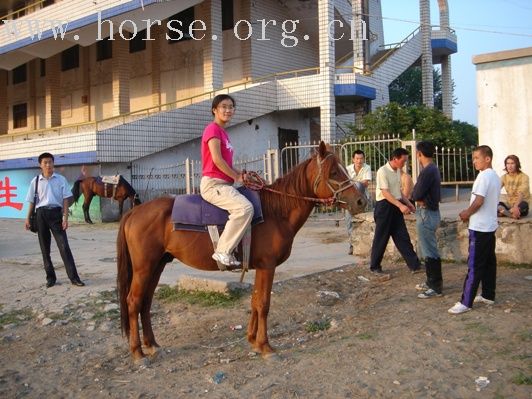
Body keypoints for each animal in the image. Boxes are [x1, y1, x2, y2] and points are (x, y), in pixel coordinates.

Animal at [116, 142, 366, 364]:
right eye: (334, 172)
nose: (361, 201)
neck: (276, 211)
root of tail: (134, 212)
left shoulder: (261, 267)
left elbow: (255, 301)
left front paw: (253, 341)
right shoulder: (267, 266)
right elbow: (263, 303)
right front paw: (266, 346)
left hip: (157, 265)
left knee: (146, 302)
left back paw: (151, 345)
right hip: (144, 268)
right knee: (133, 301)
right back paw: (137, 353)